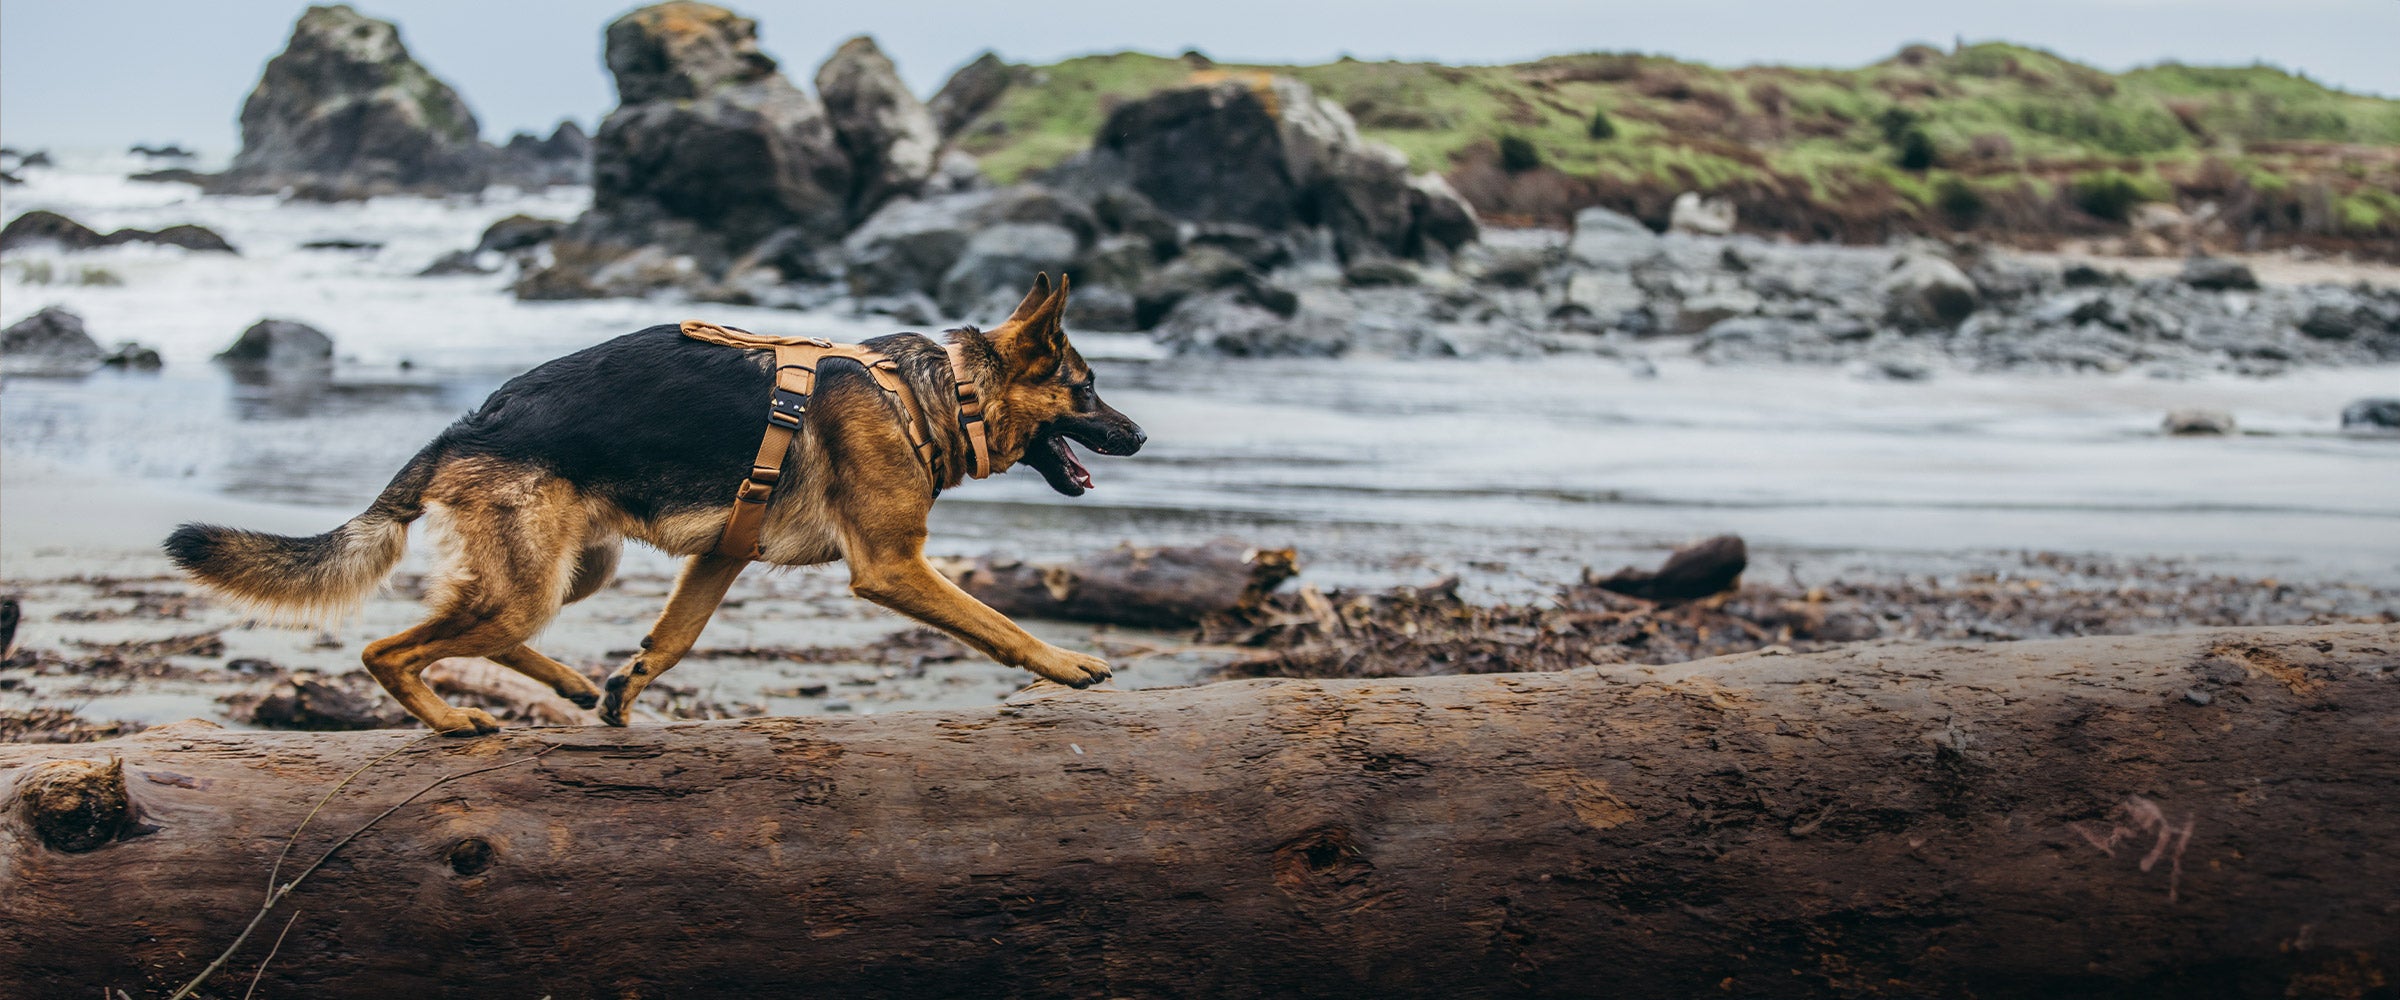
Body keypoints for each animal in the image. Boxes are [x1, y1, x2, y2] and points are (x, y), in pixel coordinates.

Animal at [166, 273, 1142, 733]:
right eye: (1088, 390)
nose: (1137, 438)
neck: (935, 394)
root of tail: (463, 429)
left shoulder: (722, 554)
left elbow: (671, 640)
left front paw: (625, 687)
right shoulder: (895, 568)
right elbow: (995, 623)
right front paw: (1065, 664)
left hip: (571, 572)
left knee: (477, 631)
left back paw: (566, 681)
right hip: (532, 582)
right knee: (388, 650)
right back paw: (449, 720)